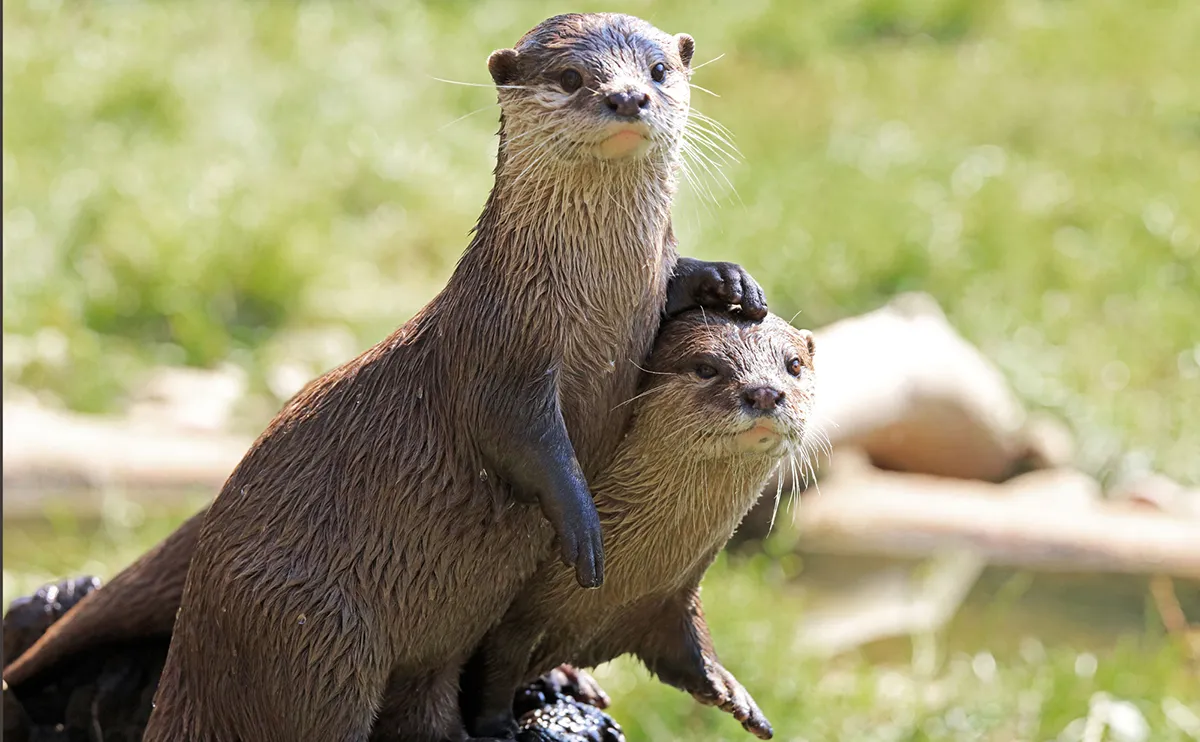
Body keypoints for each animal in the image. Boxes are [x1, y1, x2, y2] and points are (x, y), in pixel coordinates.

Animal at [141, 13, 764, 742]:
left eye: (660, 70)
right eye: (571, 77)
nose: (628, 96)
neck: (591, 308)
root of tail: (191, 647)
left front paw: (728, 283)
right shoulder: (499, 357)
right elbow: (524, 440)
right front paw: (584, 527)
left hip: (427, 650)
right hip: (312, 634)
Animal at [466, 310, 817, 740]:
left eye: (794, 364)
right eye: (705, 368)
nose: (764, 392)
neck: (615, 588)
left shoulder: (672, 596)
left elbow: (688, 647)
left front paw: (729, 687)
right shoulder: (513, 622)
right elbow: (497, 669)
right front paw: (499, 725)